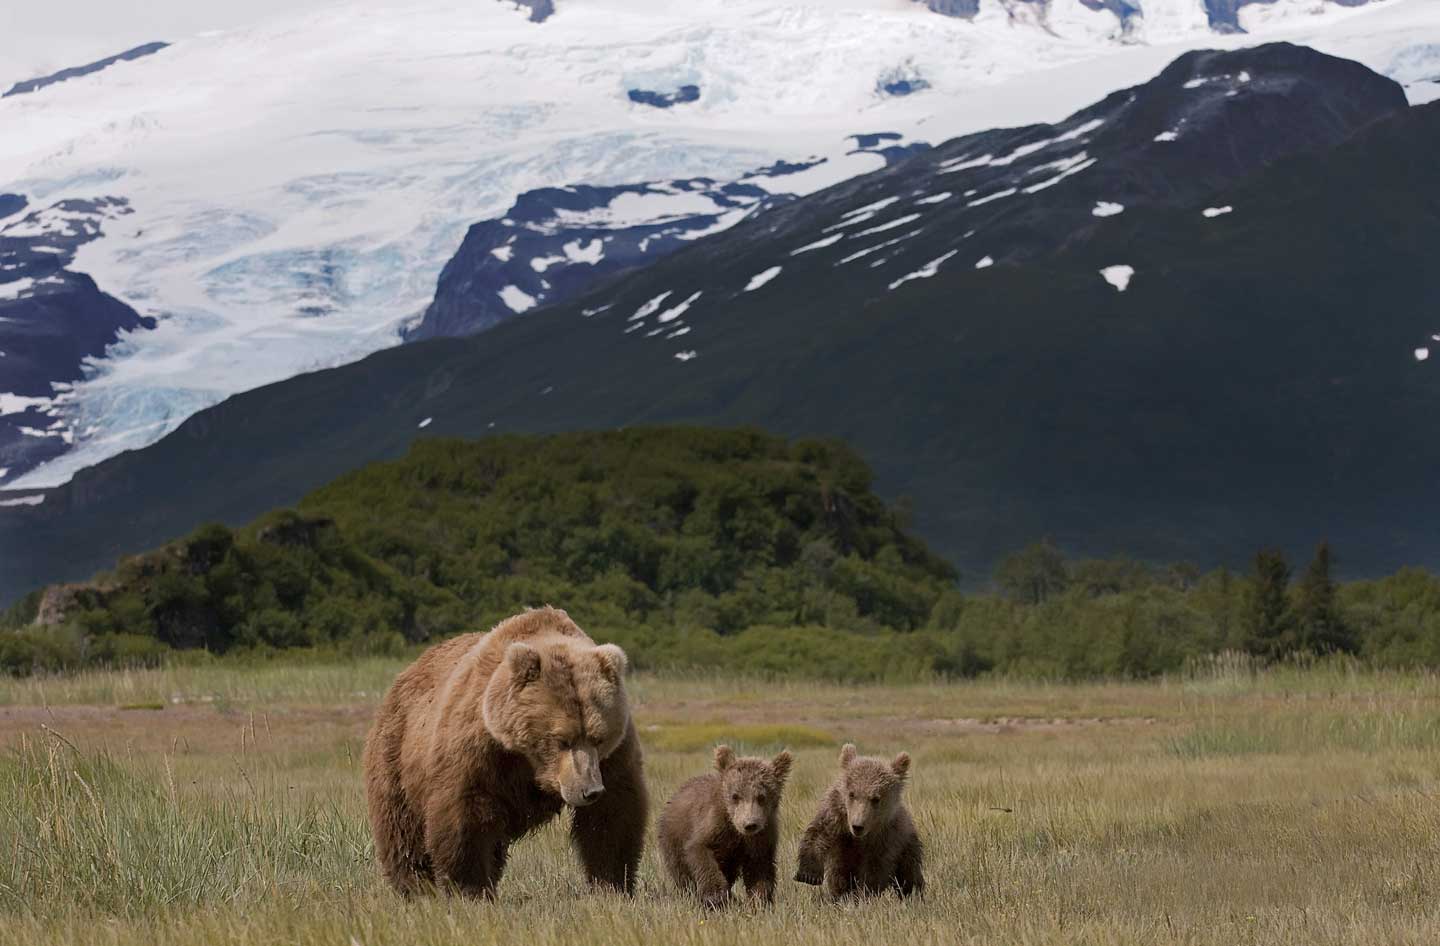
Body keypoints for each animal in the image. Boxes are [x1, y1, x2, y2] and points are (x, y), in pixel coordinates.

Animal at [362, 607, 650, 898]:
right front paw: (469, 888)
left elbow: (612, 816)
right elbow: (465, 817)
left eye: (598, 737)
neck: (529, 760)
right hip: (396, 754)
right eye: (561, 739)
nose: (589, 790)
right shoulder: (478, 750)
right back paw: (416, 887)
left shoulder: (614, 757)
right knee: (402, 829)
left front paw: (612, 884)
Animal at [659, 742, 794, 904]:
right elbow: (699, 851)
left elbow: (760, 868)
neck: (735, 830)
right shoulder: (713, 825)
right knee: (681, 873)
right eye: (735, 796)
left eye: (762, 796)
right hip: (673, 836)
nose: (749, 824)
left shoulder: (762, 836)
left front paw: (759, 898)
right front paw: (715, 895)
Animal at [794, 742, 927, 898]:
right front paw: (809, 875)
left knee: (909, 874)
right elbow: (818, 835)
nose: (857, 826)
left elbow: (874, 870)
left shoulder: (886, 839)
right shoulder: (836, 816)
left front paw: (862, 893)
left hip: (907, 847)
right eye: (852, 794)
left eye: (875, 798)